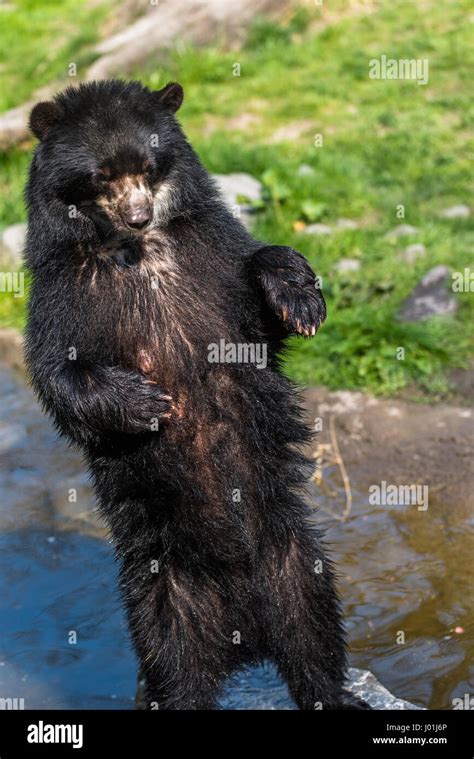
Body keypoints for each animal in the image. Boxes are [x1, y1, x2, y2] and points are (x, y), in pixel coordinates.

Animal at [25, 81, 370, 712]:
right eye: (101, 176)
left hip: (294, 558)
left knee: (314, 630)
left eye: (150, 166)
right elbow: (57, 370)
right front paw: (144, 403)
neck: (137, 252)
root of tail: (245, 640)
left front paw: (300, 300)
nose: (138, 216)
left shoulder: (209, 252)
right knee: (174, 666)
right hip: (160, 594)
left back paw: (333, 694)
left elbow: (259, 302)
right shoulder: (65, 287)